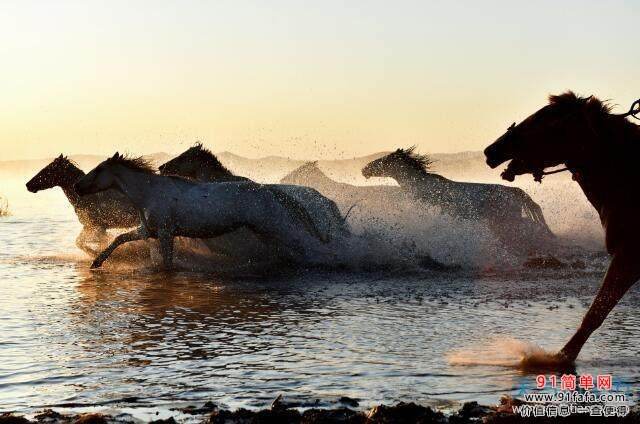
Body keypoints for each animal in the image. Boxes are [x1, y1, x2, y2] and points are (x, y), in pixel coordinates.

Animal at [74, 154, 332, 270]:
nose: (77, 186)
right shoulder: (149, 231)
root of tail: (266, 189)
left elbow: (167, 263)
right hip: (264, 231)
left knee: (300, 244)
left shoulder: (166, 233)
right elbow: (119, 238)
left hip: (272, 225)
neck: (148, 193)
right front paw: (96, 262)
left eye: (98, 170)